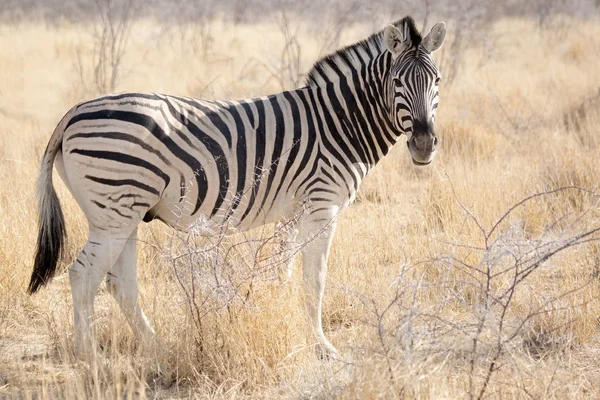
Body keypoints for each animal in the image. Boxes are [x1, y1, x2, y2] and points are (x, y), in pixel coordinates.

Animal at [30, 16, 448, 360]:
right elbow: (315, 278)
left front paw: (283, 319)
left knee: (120, 284)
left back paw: (158, 348)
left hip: (124, 214)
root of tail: (73, 112)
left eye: (437, 81)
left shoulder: (294, 211)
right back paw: (90, 359)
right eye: (397, 82)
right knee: (83, 277)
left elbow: (283, 272)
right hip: (115, 210)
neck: (339, 122)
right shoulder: (322, 205)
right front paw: (322, 347)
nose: (424, 145)